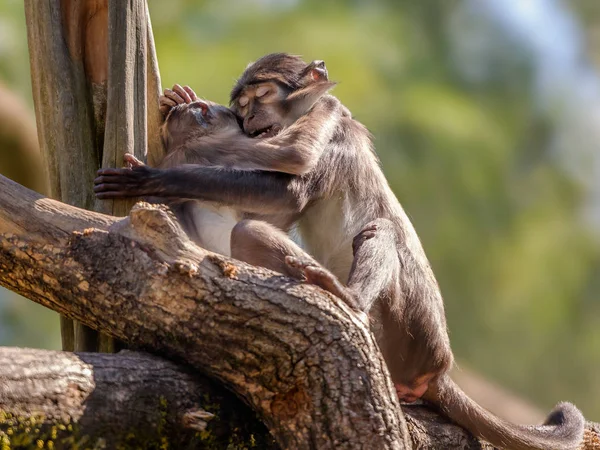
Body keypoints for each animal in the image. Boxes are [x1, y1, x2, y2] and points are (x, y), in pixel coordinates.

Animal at [92, 53, 580, 450]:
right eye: (242, 105)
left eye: (259, 96)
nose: (248, 116)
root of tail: (439, 366)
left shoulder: (336, 134)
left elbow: (289, 189)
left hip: (407, 334)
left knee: (373, 229)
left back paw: (349, 298)